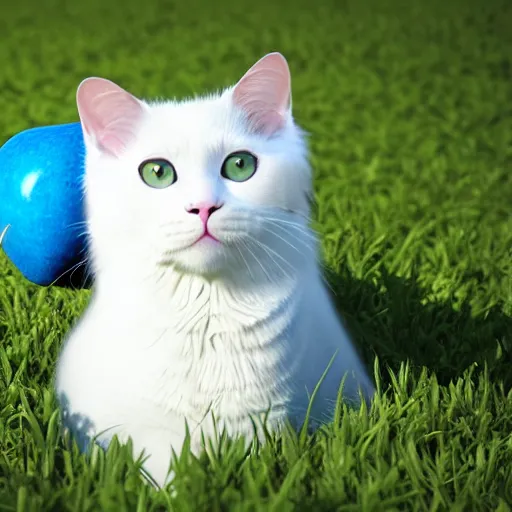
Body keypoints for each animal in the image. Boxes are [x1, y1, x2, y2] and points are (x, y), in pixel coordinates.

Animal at [55, 53, 376, 488]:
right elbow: (164, 469)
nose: (203, 207)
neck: (206, 311)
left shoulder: (264, 417)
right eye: (157, 173)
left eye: (240, 165)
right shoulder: (131, 427)